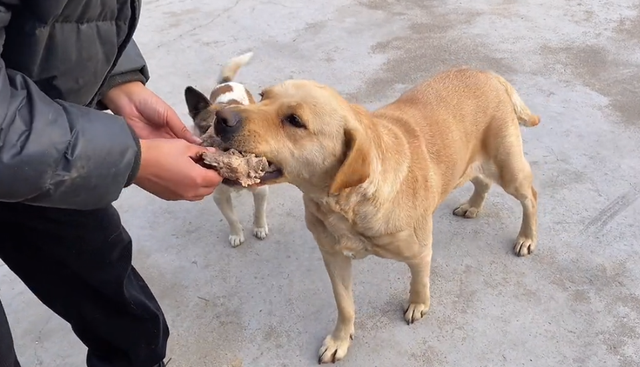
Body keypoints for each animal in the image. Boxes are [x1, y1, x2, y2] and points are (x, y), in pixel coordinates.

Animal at [211, 67, 540, 364]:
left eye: (295, 121)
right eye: (262, 96)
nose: (221, 118)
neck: (344, 204)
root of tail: (487, 73)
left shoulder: (420, 252)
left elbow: (419, 282)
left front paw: (418, 304)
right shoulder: (334, 257)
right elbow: (345, 305)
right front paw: (340, 339)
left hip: (510, 170)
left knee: (531, 197)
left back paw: (526, 237)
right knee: (482, 180)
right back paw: (473, 205)